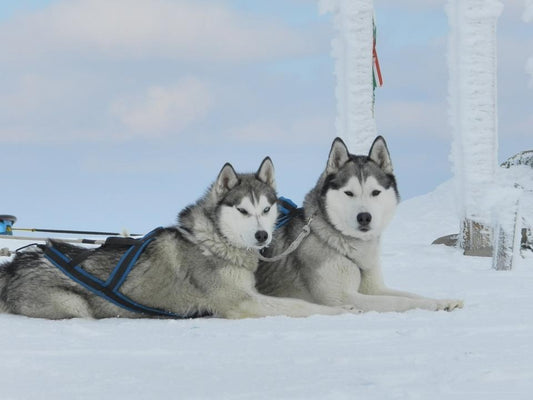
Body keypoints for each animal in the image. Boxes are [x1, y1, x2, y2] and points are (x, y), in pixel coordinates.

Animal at [0, 159, 354, 318]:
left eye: (266, 209)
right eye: (242, 210)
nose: (261, 234)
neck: (213, 243)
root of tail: (16, 265)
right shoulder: (242, 302)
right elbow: (298, 305)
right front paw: (340, 311)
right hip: (74, 305)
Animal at [255, 138, 462, 312]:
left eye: (375, 192)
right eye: (349, 193)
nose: (364, 217)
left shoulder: (374, 288)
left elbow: (409, 294)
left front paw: (441, 301)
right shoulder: (342, 297)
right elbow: (398, 301)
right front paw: (429, 306)